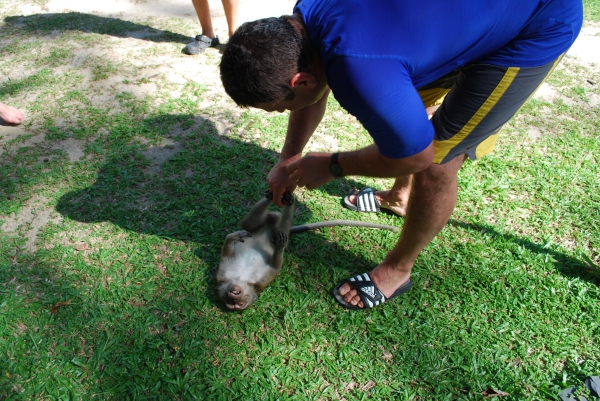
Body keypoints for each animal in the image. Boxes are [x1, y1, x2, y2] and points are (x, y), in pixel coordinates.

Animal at [216, 191, 398, 310]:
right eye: (232, 304)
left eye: (239, 303)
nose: (234, 294)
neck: (242, 279)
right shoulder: (223, 277)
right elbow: (272, 265)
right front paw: (232, 238)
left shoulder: (260, 281)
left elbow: (274, 266)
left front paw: (232, 237)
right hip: (270, 229)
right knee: (254, 225)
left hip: (271, 225)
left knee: (264, 223)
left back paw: (282, 201)